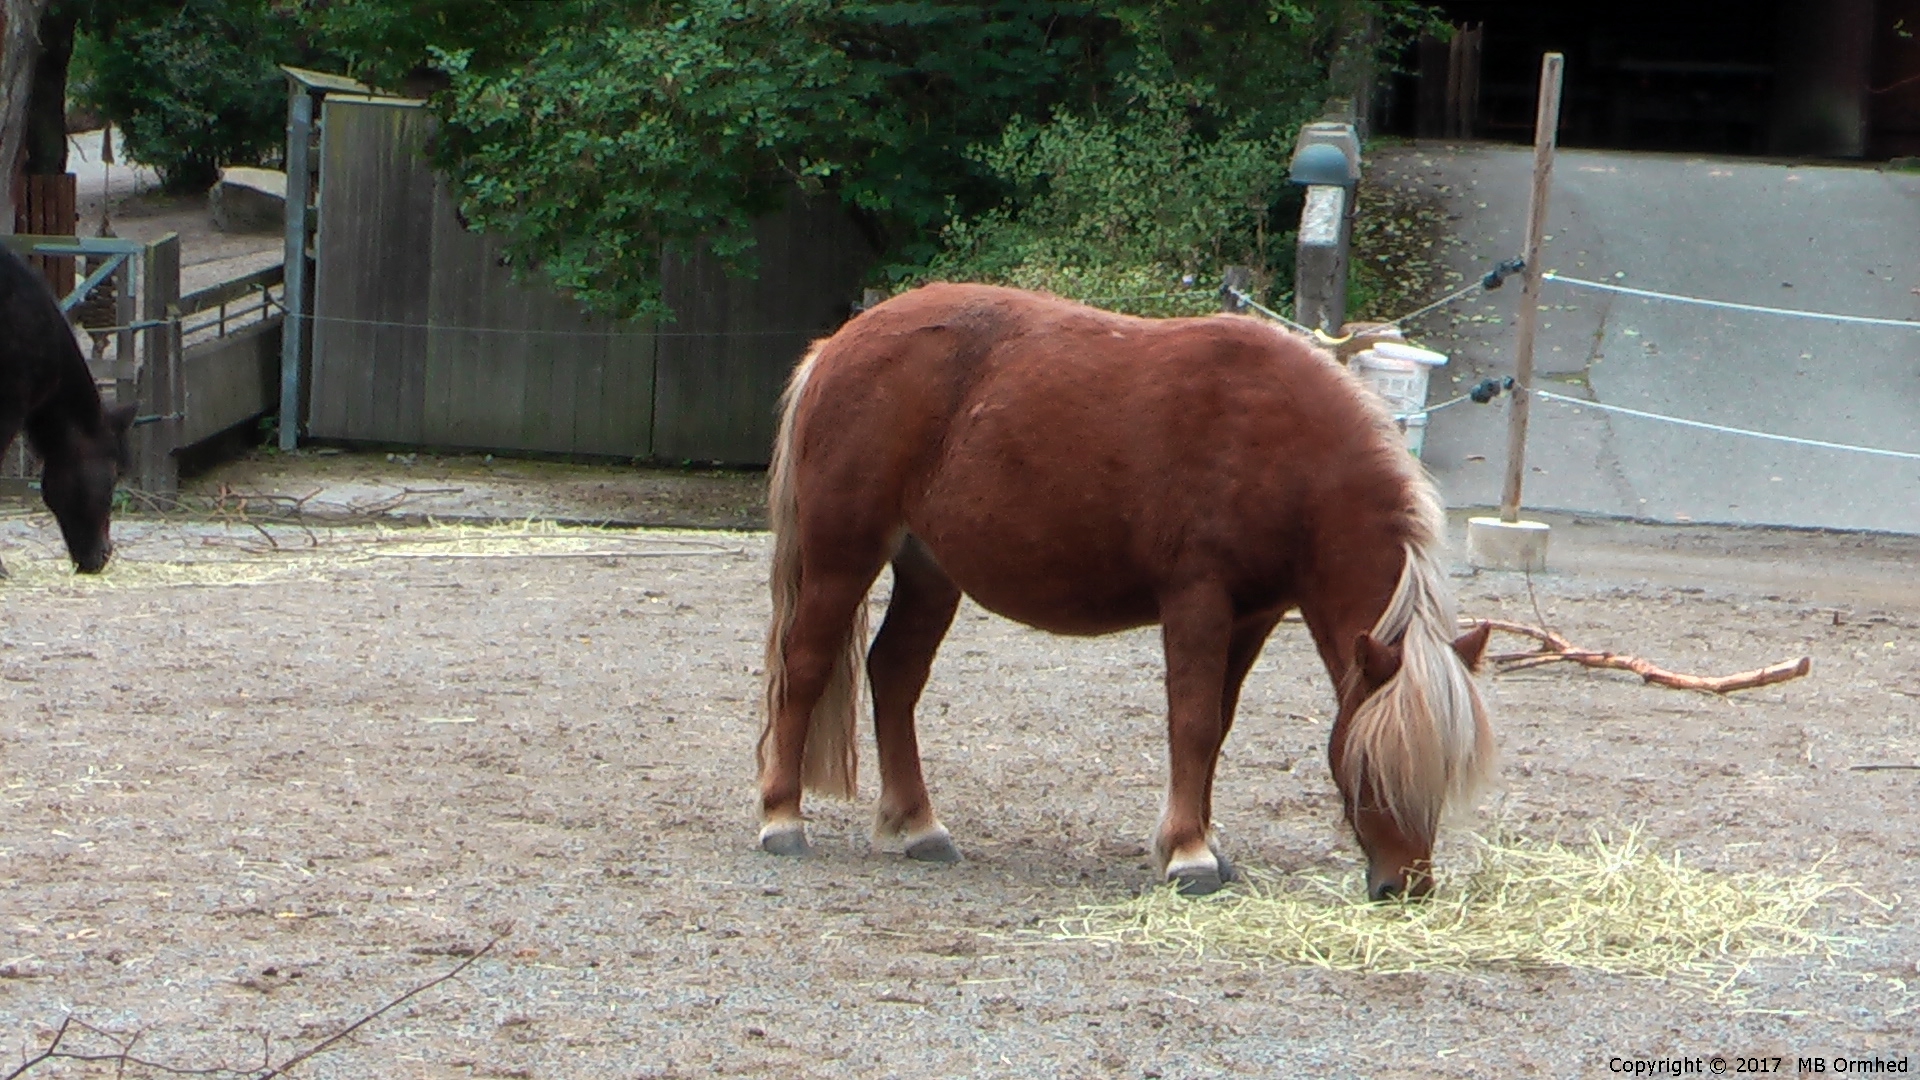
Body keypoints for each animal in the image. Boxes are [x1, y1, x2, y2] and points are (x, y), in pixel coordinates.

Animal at [756, 282, 1489, 895]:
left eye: (1444, 771)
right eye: (1375, 767)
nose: (1406, 886)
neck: (1283, 446)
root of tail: (837, 345)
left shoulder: (1253, 616)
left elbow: (1218, 725)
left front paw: (1202, 843)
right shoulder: (1197, 599)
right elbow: (1192, 723)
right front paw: (1189, 854)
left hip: (930, 573)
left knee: (894, 674)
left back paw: (917, 825)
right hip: (843, 558)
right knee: (806, 665)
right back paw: (782, 816)